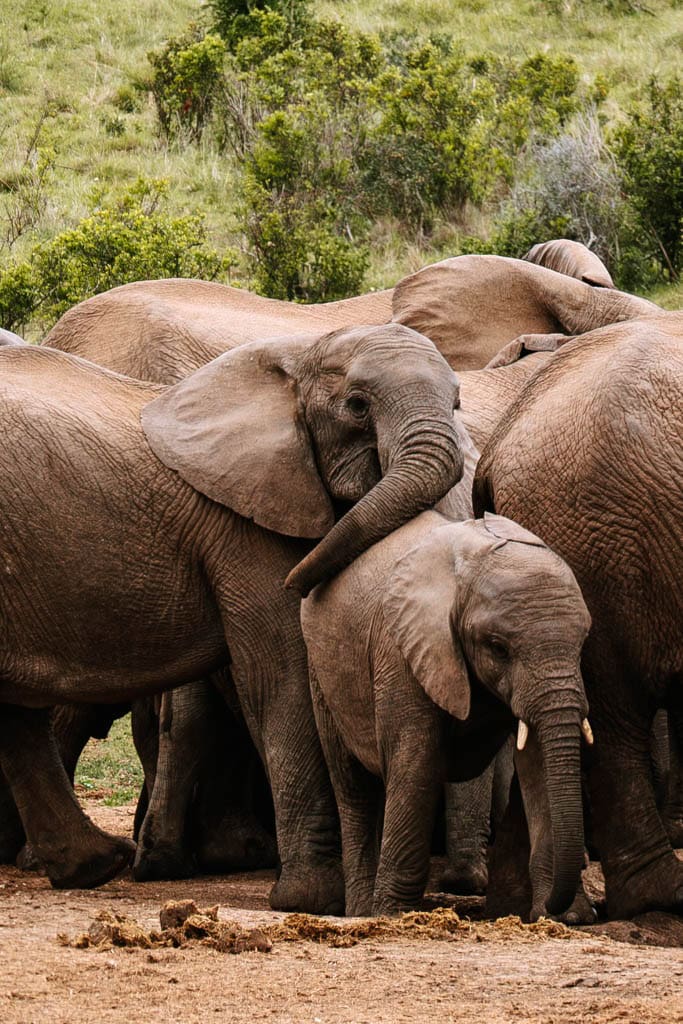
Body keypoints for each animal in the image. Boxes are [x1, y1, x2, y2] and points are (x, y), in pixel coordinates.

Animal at [0, 322, 465, 907]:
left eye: (458, 402)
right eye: (357, 406)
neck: (299, 353)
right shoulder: (244, 524)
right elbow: (281, 673)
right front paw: (310, 901)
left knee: (17, 713)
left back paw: (96, 866)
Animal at [301, 512, 592, 918]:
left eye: (582, 644)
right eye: (498, 648)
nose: (551, 906)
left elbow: (537, 763)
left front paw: (567, 917)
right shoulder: (402, 649)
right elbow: (417, 759)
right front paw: (394, 915)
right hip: (322, 673)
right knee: (354, 786)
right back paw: (361, 914)